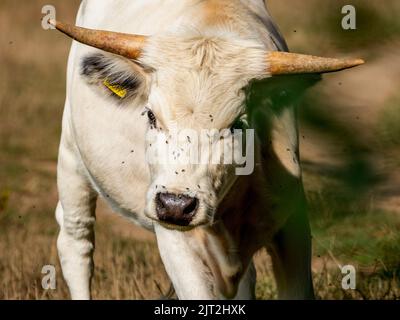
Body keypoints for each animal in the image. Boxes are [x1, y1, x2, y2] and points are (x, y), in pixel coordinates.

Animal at [52, 0, 362, 300]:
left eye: (238, 124)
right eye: (151, 116)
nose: (175, 205)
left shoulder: (291, 224)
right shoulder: (175, 237)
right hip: (71, 157)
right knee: (77, 242)